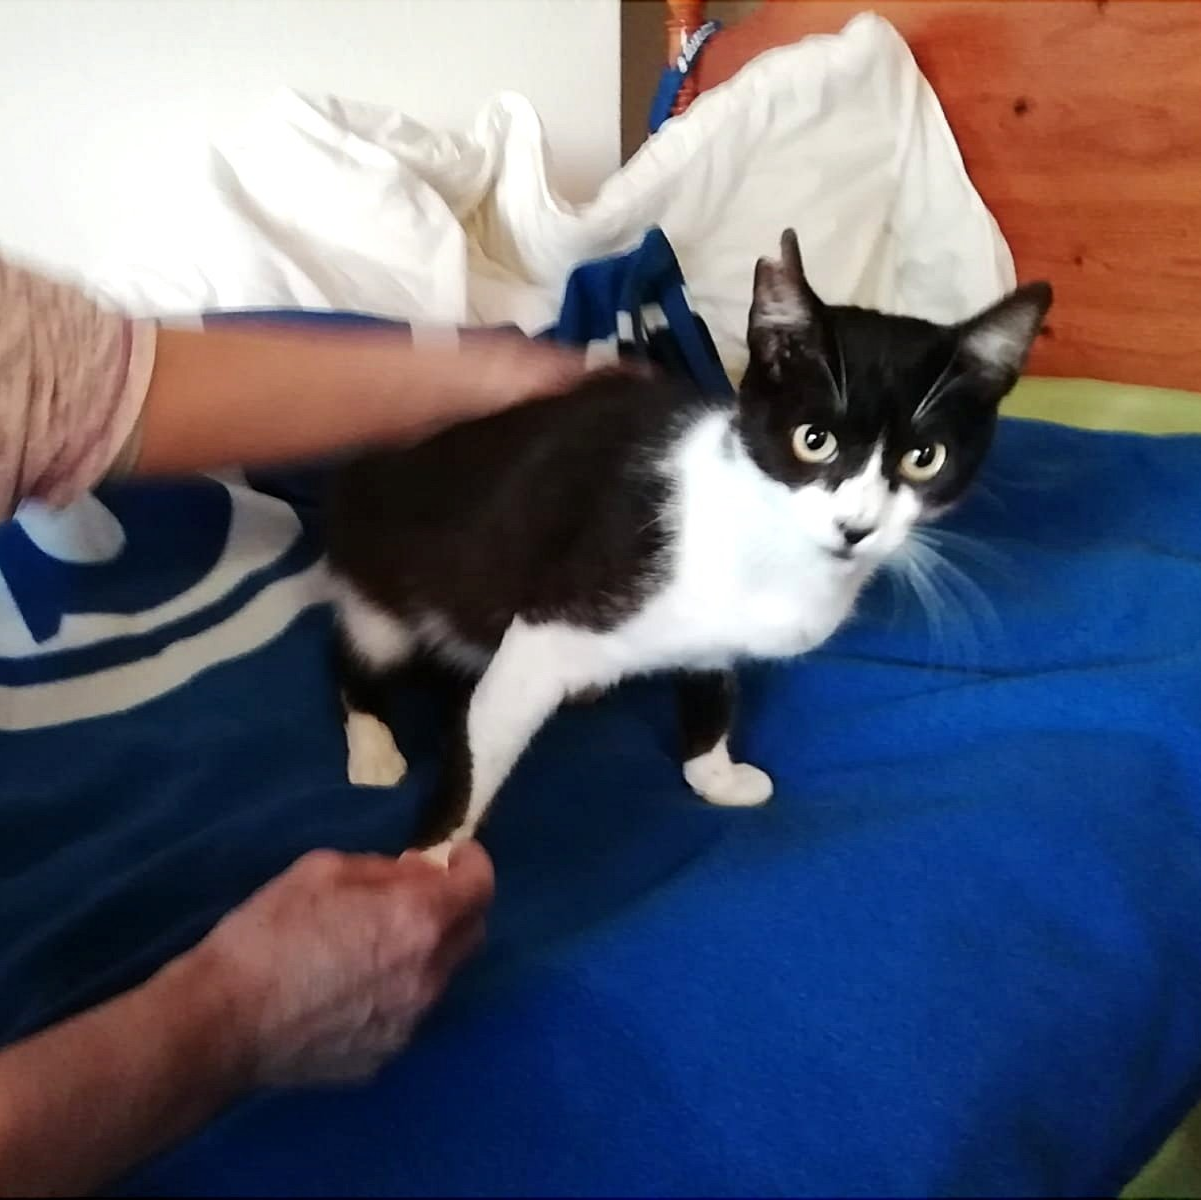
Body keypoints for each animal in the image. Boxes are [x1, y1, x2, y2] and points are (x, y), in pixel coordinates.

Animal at [325, 229, 1051, 865]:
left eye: (924, 459)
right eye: (813, 440)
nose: (856, 526)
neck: (774, 545)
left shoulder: (713, 636)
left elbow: (712, 692)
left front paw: (714, 773)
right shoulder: (560, 612)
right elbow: (486, 738)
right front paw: (430, 859)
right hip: (383, 575)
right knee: (359, 652)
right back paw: (373, 745)